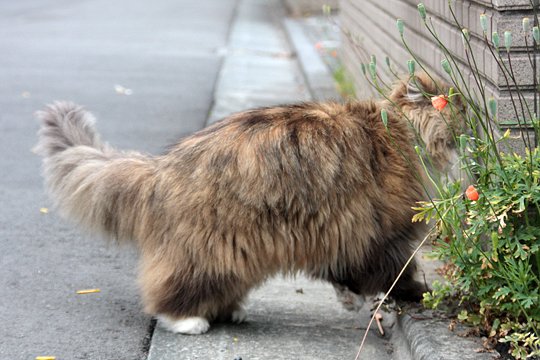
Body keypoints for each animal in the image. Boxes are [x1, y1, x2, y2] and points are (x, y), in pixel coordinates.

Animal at [33, 72, 464, 334]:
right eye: (456, 107)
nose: (474, 120)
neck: (397, 132)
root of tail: (161, 169)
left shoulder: (341, 231)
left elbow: (348, 272)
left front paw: (353, 300)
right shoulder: (379, 232)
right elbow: (396, 275)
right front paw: (415, 295)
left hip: (241, 252)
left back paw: (232, 312)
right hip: (208, 249)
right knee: (165, 292)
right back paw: (188, 320)